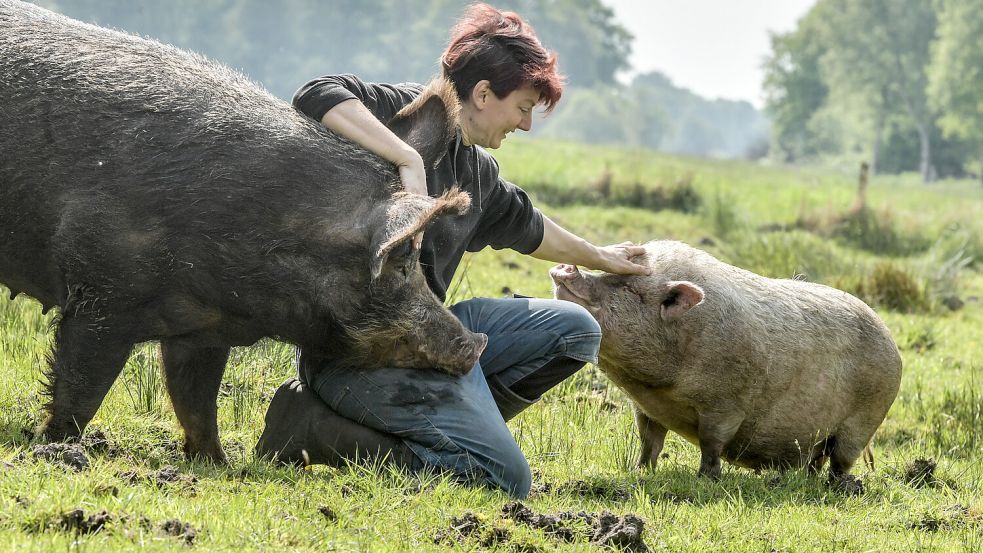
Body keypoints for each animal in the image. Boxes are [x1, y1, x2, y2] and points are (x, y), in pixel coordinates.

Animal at [1, 0, 486, 462]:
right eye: (402, 261)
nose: (474, 343)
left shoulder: (200, 329)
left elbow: (197, 400)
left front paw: (216, 463)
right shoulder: (101, 294)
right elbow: (82, 383)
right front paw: (55, 446)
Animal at [548, 240, 904, 478]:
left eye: (630, 289)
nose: (565, 267)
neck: (658, 388)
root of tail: (893, 344)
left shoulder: (727, 404)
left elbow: (711, 442)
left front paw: (705, 478)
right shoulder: (645, 408)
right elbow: (649, 441)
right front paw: (640, 472)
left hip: (866, 418)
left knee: (842, 461)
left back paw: (839, 487)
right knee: (816, 460)